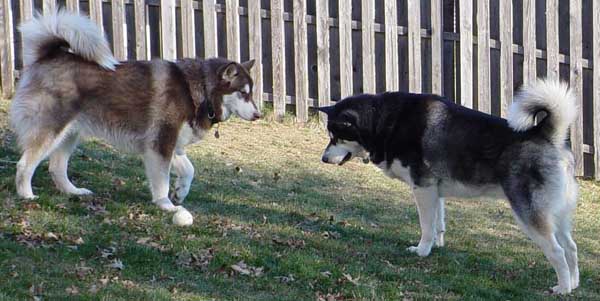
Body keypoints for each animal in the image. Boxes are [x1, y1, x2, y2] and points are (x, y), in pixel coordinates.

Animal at [10, 10, 260, 219]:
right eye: (243, 93)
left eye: (251, 93)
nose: (258, 115)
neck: (199, 89)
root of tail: (50, 54)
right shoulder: (161, 143)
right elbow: (162, 180)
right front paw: (166, 204)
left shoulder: (169, 144)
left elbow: (189, 170)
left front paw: (180, 192)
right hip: (52, 129)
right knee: (24, 164)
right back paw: (26, 195)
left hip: (70, 133)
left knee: (57, 167)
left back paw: (74, 191)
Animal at [322, 79, 580, 292]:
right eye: (330, 135)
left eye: (337, 137)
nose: (323, 159)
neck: (384, 122)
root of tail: (545, 135)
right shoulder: (435, 192)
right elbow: (438, 224)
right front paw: (436, 246)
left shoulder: (423, 189)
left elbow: (426, 226)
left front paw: (422, 251)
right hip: (557, 215)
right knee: (571, 247)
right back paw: (575, 283)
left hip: (529, 214)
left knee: (557, 251)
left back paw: (563, 288)